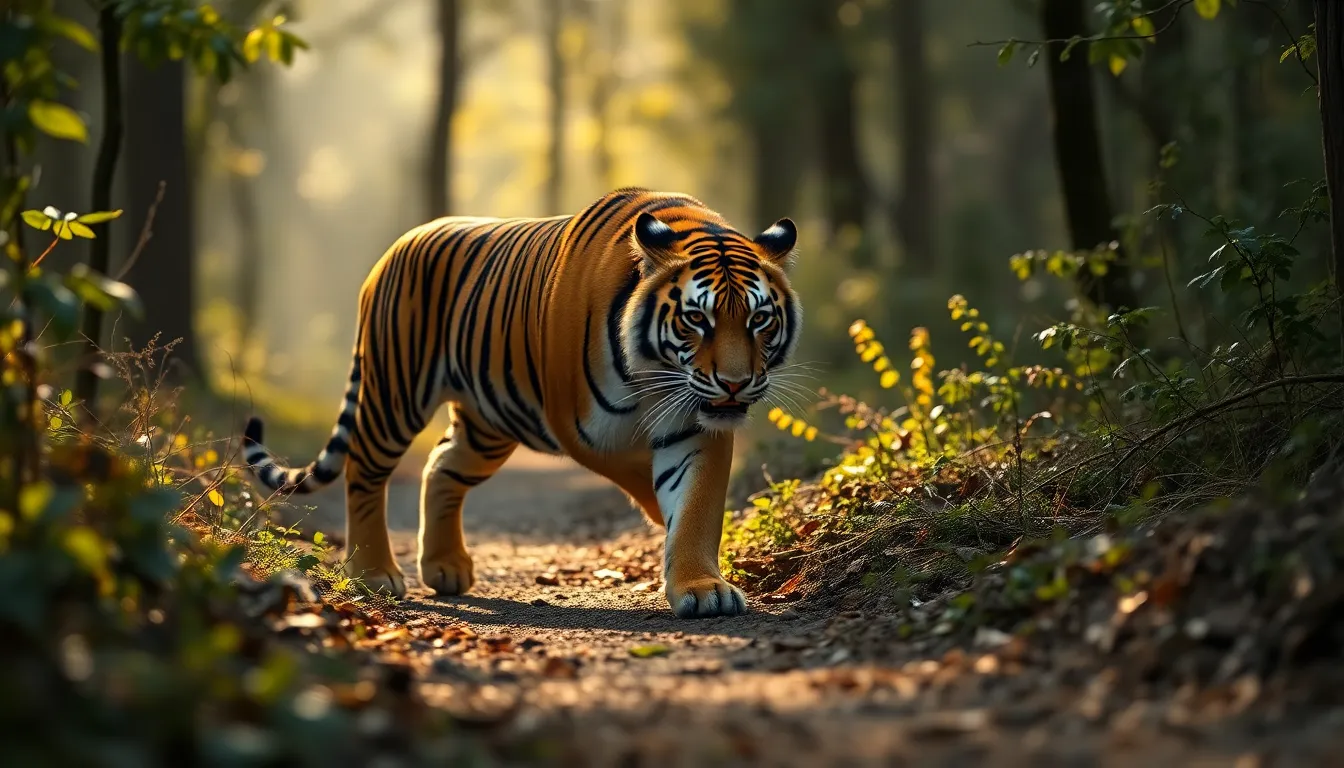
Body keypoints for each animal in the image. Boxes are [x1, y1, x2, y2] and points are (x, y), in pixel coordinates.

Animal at [241, 187, 802, 618]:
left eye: (758, 319)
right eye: (696, 319)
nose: (734, 383)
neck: (656, 373)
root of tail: (396, 247)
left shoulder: (699, 423)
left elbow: (697, 505)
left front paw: (701, 587)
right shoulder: (584, 430)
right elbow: (649, 484)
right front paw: (658, 523)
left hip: (486, 425)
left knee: (441, 465)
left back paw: (444, 565)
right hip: (394, 393)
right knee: (364, 468)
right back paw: (374, 573)